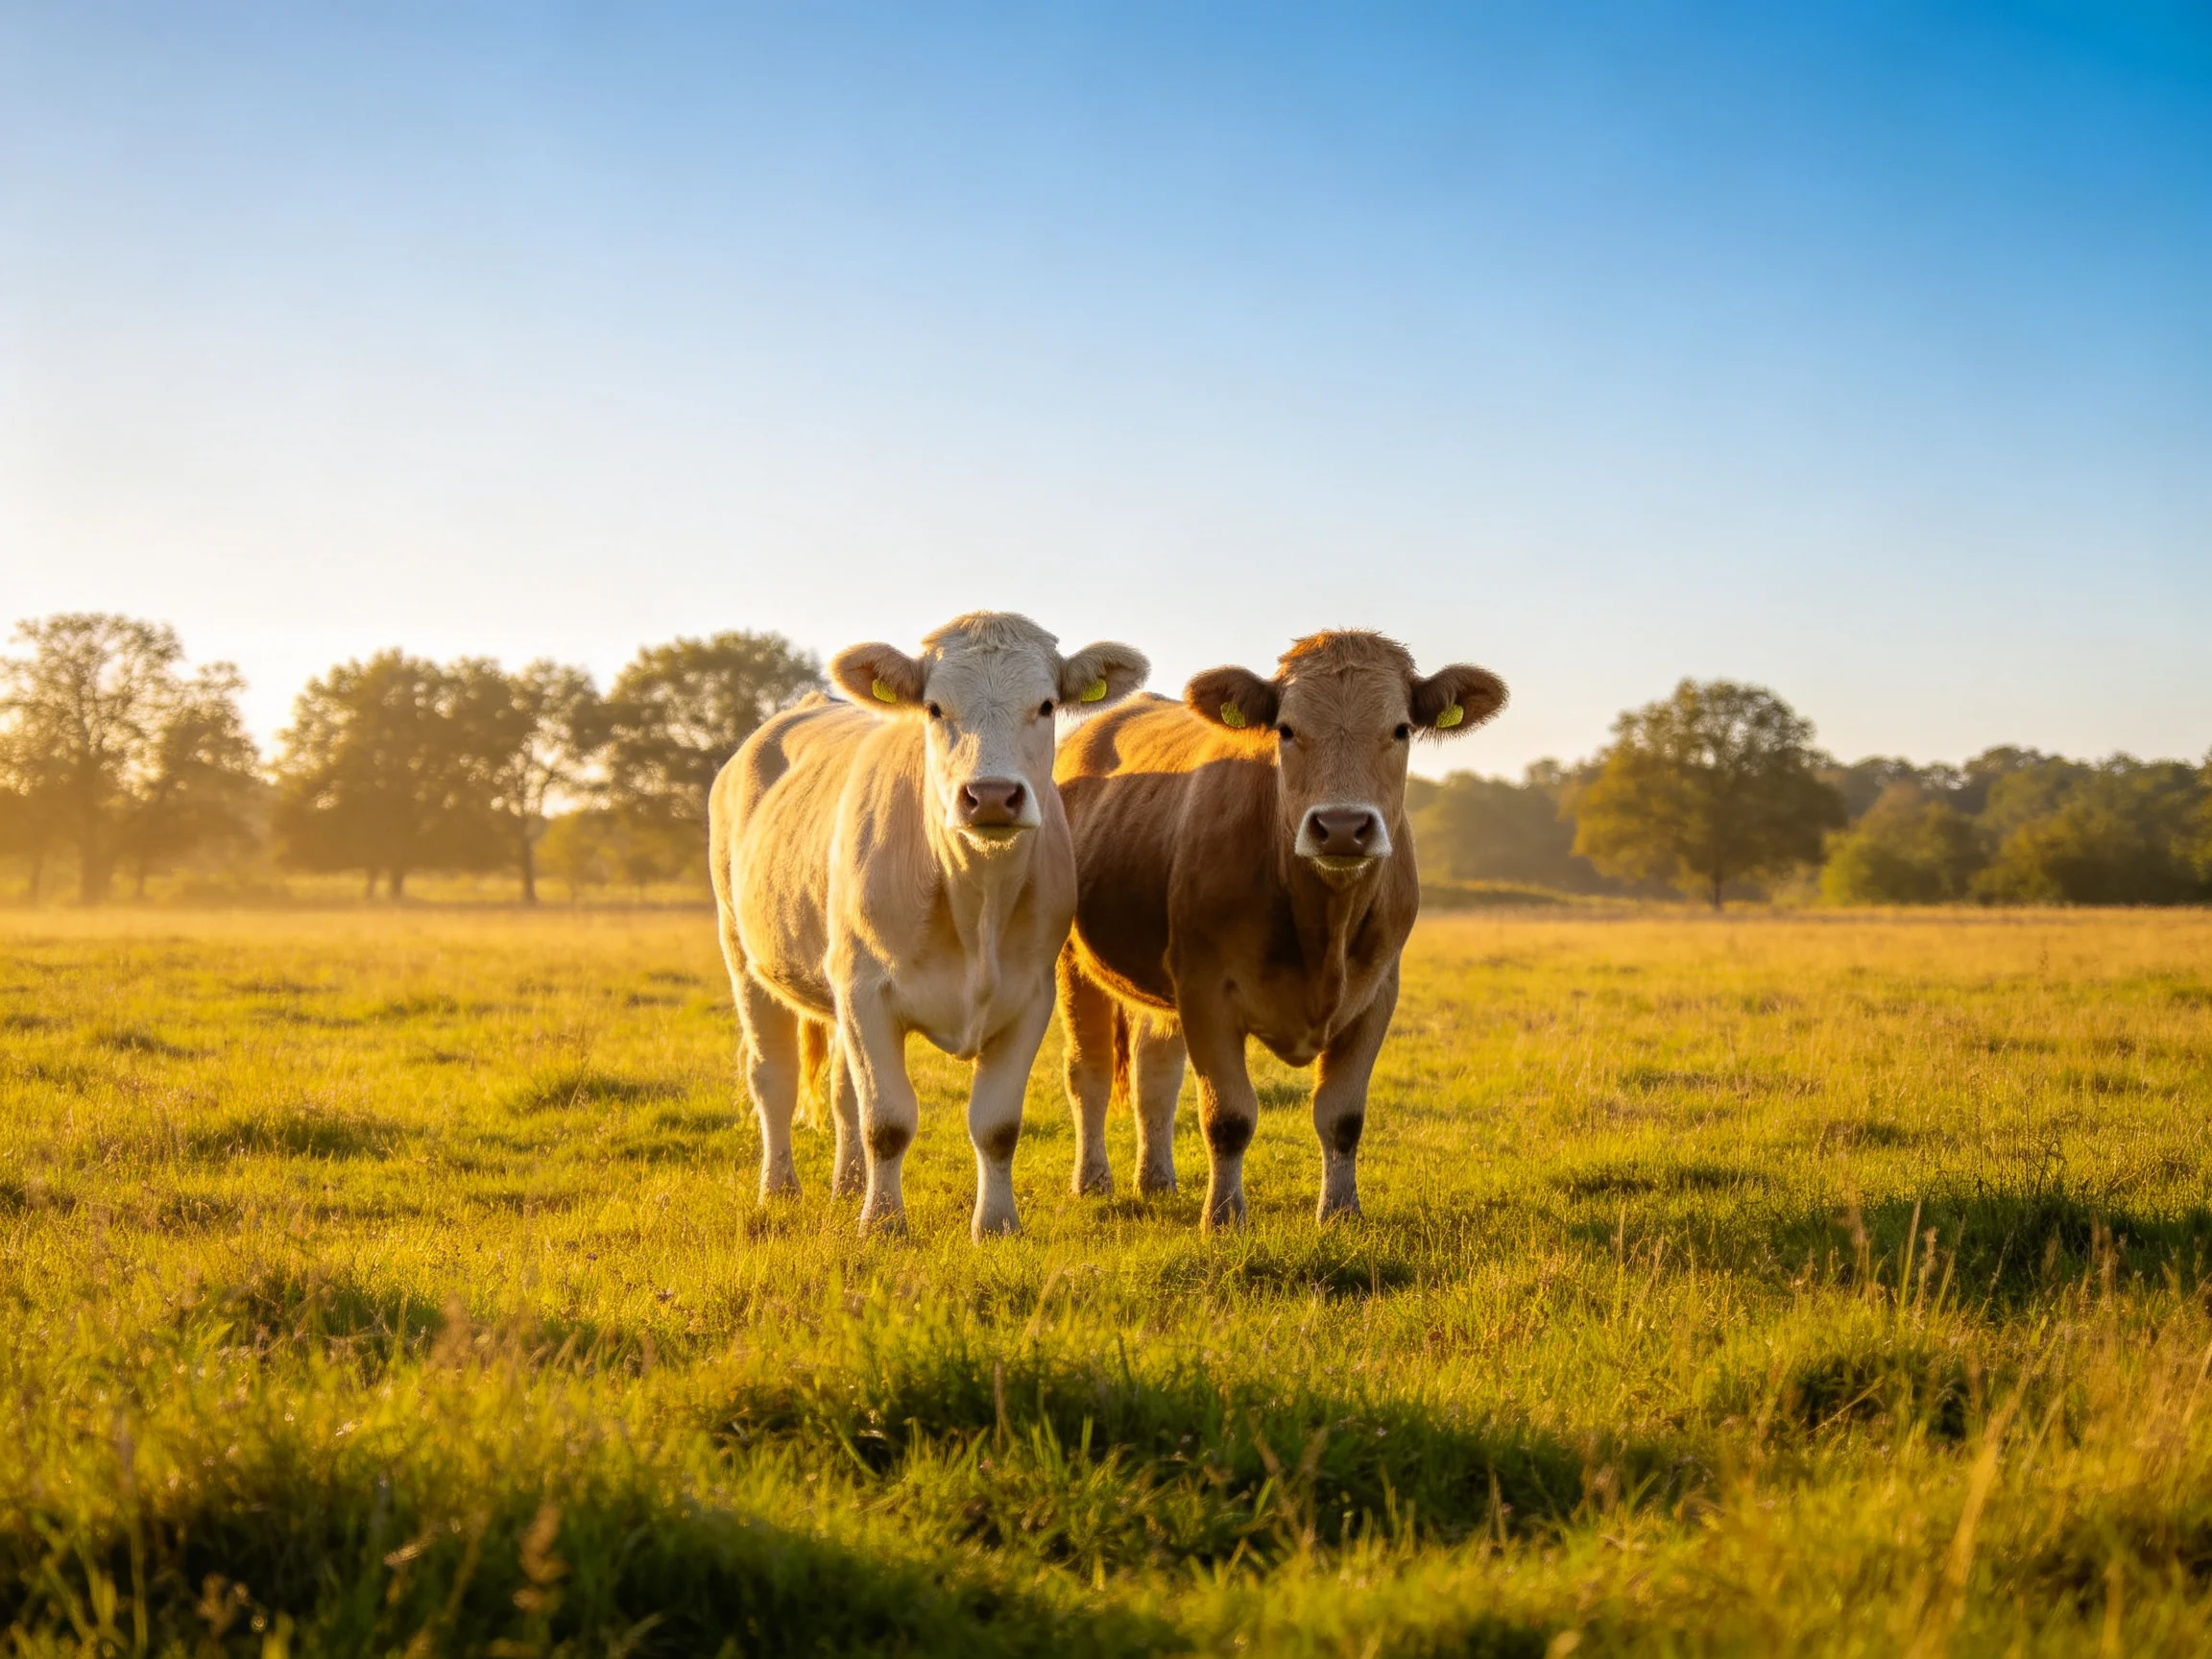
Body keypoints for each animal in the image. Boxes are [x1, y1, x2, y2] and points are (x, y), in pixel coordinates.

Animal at [709, 612, 1149, 1240]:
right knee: (774, 1075)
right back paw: (780, 1188)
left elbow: (996, 1124)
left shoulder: (1029, 996)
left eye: (1045, 705)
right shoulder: (865, 989)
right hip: (743, 952)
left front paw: (997, 1225)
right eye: (935, 708)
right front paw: (883, 1224)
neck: (974, 901)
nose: (992, 795)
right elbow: (887, 1120)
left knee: (842, 1089)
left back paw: (848, 1187)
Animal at [1053, 631, 1506, 1229]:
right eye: (1286, 729)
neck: (1322, 928)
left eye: (1401, 729)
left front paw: (1341, 1214)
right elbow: (1228, 1116)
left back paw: (1156, 1181)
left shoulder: (1378, 994)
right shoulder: (1205, 992)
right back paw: (1093, 1182)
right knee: (1091, 1071)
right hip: (1071, 962)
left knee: (1155, 1075)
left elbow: (1342, 1115)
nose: (1342, 827)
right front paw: (1224, 1218)